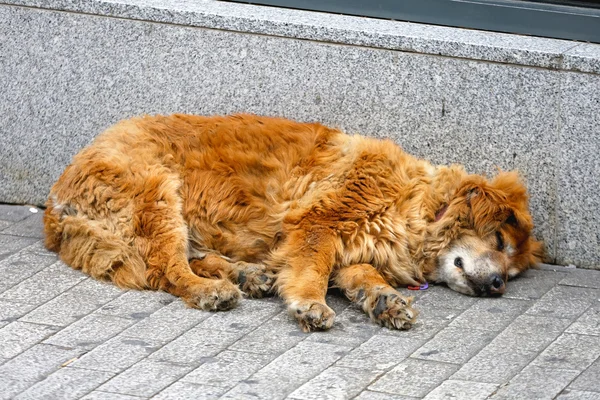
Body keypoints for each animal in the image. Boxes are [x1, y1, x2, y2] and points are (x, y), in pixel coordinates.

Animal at [45, 113, 544, 332]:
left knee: (194, 256)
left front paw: (385, 300)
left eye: (513, 269)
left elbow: (364, 275)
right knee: (164, 268)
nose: (498, 284)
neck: (418, 205)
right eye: (499, 239)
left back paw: (248, 275)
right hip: (159, 196)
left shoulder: (358, 247)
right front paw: (309, 305)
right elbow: (313, 271)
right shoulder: (319, 225)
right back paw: (212, 291)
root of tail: (57, 196)